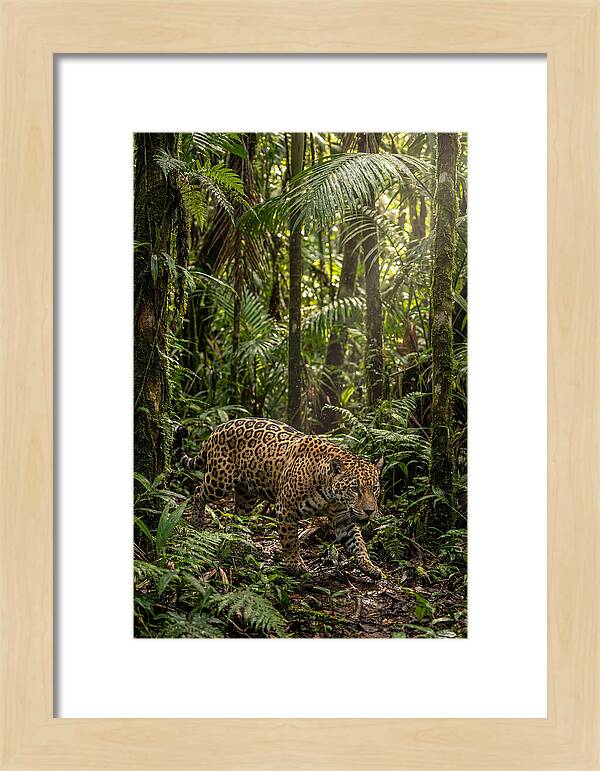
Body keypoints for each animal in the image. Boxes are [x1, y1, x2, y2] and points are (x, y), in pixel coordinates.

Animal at [174, 417, 384, 579]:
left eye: (374, 489)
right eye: (355, 489)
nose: (369, 511)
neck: (330, 495)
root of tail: (218, 429)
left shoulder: (343, 519)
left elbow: (358, 542)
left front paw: (370, 566)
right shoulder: (286, 509)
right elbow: (290, 540)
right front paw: (295, 564)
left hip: (247, 494)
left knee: (239, 514)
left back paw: (242, 539)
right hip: (219, 481)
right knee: (197, 492)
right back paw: (198, 523)